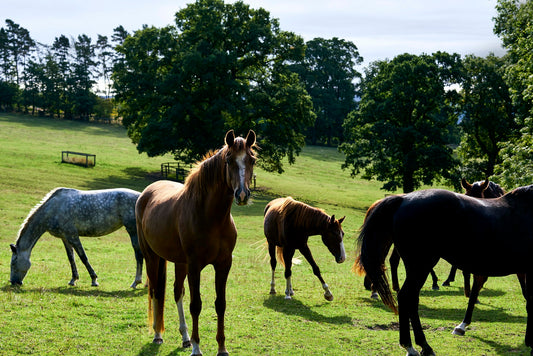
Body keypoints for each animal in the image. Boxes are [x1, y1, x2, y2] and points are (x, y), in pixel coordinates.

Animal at [10, 188, 143, 288]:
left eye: (14, 262)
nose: (13, 282)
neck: (53, 209)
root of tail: (141, 196)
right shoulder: (65, 237)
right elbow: (71, 258)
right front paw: (73, 279)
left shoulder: (73, 235)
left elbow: (83, 257)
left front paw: (94, 280)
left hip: (132, 231)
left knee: (139, 255)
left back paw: (135, 282)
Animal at [135, 129, 256, 356]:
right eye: (229, 160)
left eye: (251, 160)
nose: (242, 195)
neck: (212, 217)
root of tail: (146, 193)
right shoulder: (195, 265)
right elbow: (196, 304)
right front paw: (197, 347)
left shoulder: (223, 264)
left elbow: (220, 304)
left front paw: (221, 348)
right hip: (152, 257)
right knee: (156, 290)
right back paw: (158, 335)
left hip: (179, 262)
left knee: (176, 292)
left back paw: (184, 338)